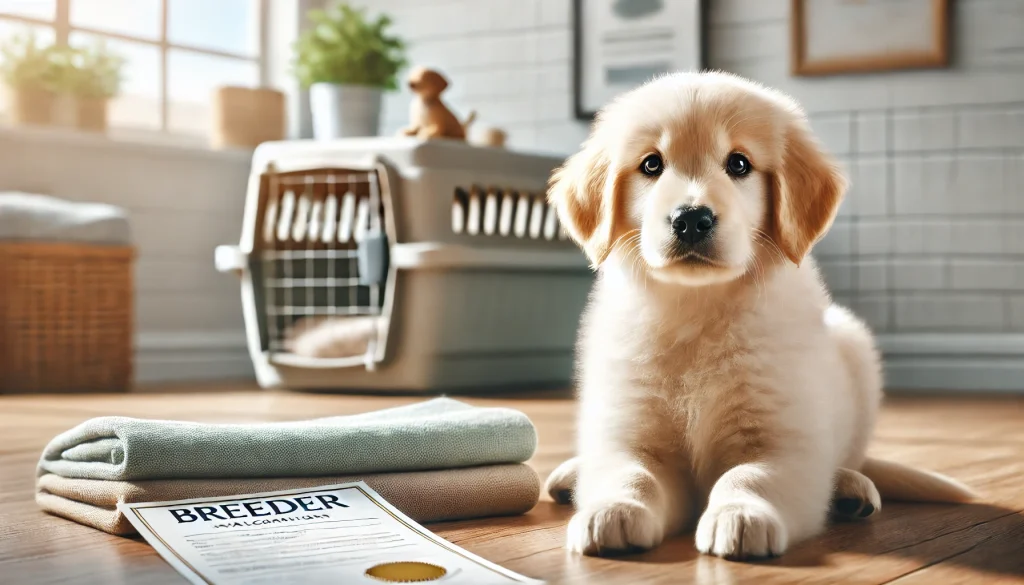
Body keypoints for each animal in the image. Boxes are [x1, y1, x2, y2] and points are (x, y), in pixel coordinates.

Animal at [544, 71, 974, 561]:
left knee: (848, 459)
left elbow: (747, 476)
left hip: (855, 348)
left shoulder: (783, 443)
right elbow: (631, 473)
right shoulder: (632, 434)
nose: (691, 219)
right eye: (652, 165)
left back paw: (850, 487)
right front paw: (613, 509)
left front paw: (740, 516)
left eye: (739, 164)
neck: (698, 308)